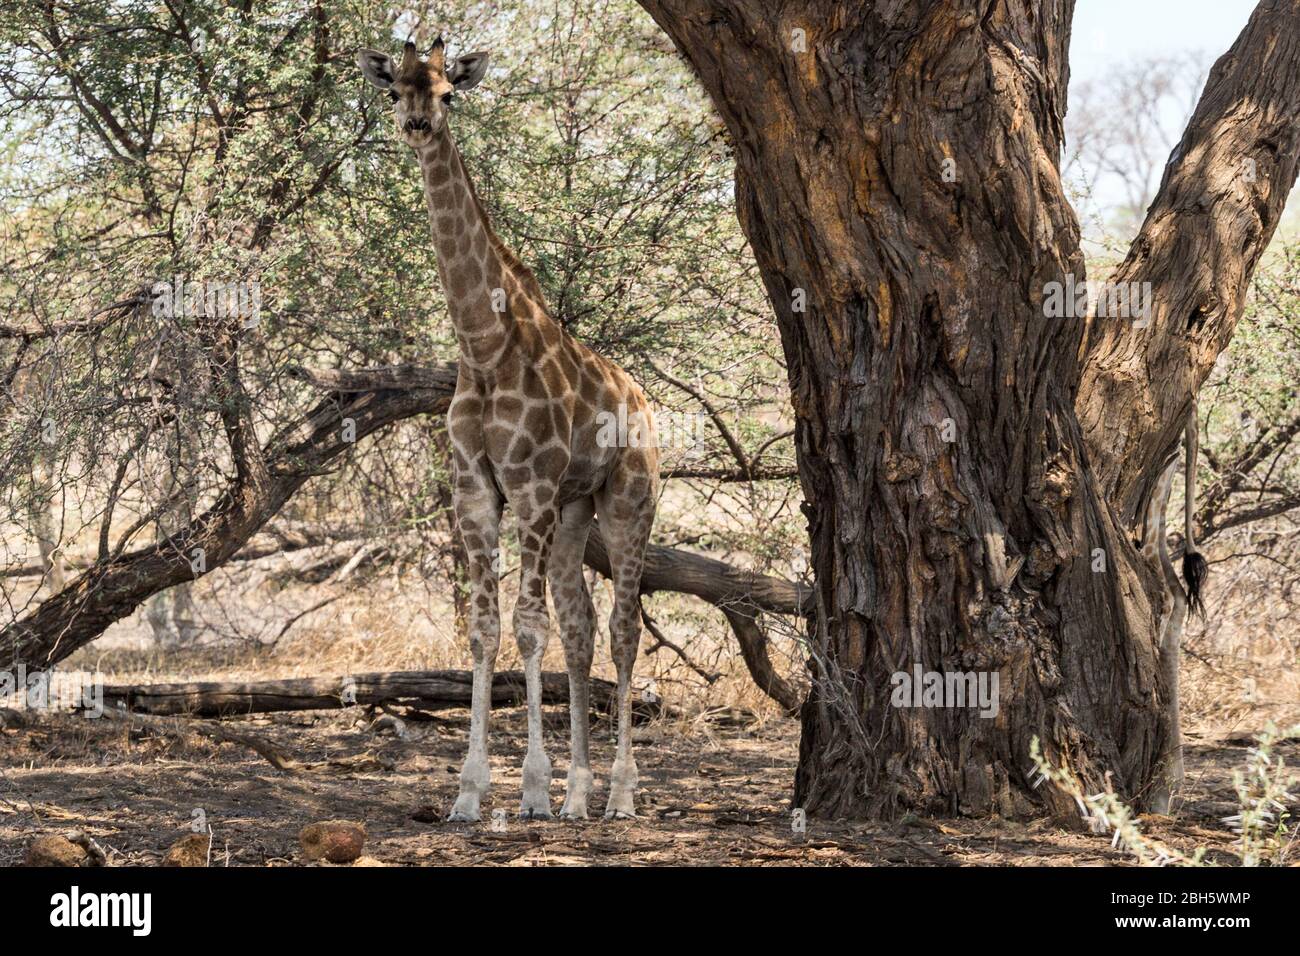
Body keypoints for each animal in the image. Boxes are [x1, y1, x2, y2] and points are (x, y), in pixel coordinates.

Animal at [358, 39, 659, 821]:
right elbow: (484, 627)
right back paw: (581, 793)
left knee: (623, 630)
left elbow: (528, 628)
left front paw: (530, 787)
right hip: (577, 511)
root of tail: (644, 402)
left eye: (449, 92)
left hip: (627, 502)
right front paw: (469, 792)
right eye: (395, 88)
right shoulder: (474, 490)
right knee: (583, 627)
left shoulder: (532, 487)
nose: (418, 122)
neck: (484, 345)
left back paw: (620, 795)